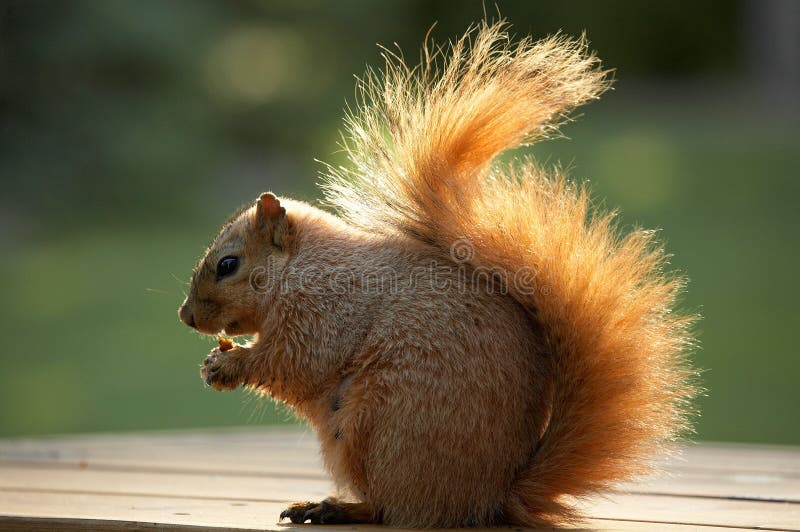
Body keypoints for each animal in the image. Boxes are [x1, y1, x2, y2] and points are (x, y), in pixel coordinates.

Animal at [178, 21, 698, 528]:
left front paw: (227, 366)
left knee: (393, 508)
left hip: (377, 428)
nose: (185, 317)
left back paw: (332, 507)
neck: (304, 268)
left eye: (228, 265)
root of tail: (491, 498)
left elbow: (294, 362)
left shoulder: (327, 311)